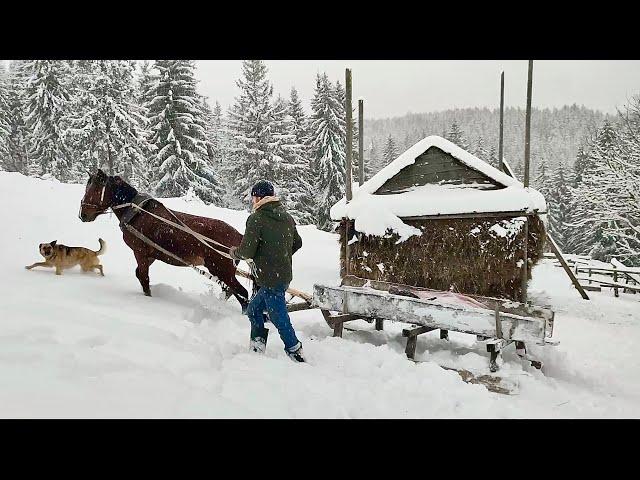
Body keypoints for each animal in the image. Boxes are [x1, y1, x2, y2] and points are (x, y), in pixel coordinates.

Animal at [77, 171, 250, 310]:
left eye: (95, 189)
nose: (82, 214)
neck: (137, 212)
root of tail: (240, 236)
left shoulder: (140, 252)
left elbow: (144, 278)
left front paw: (148, 298)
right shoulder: (152, 255)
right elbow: (139, 275)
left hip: (221, 269)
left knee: (242, 294)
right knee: (230, 291)